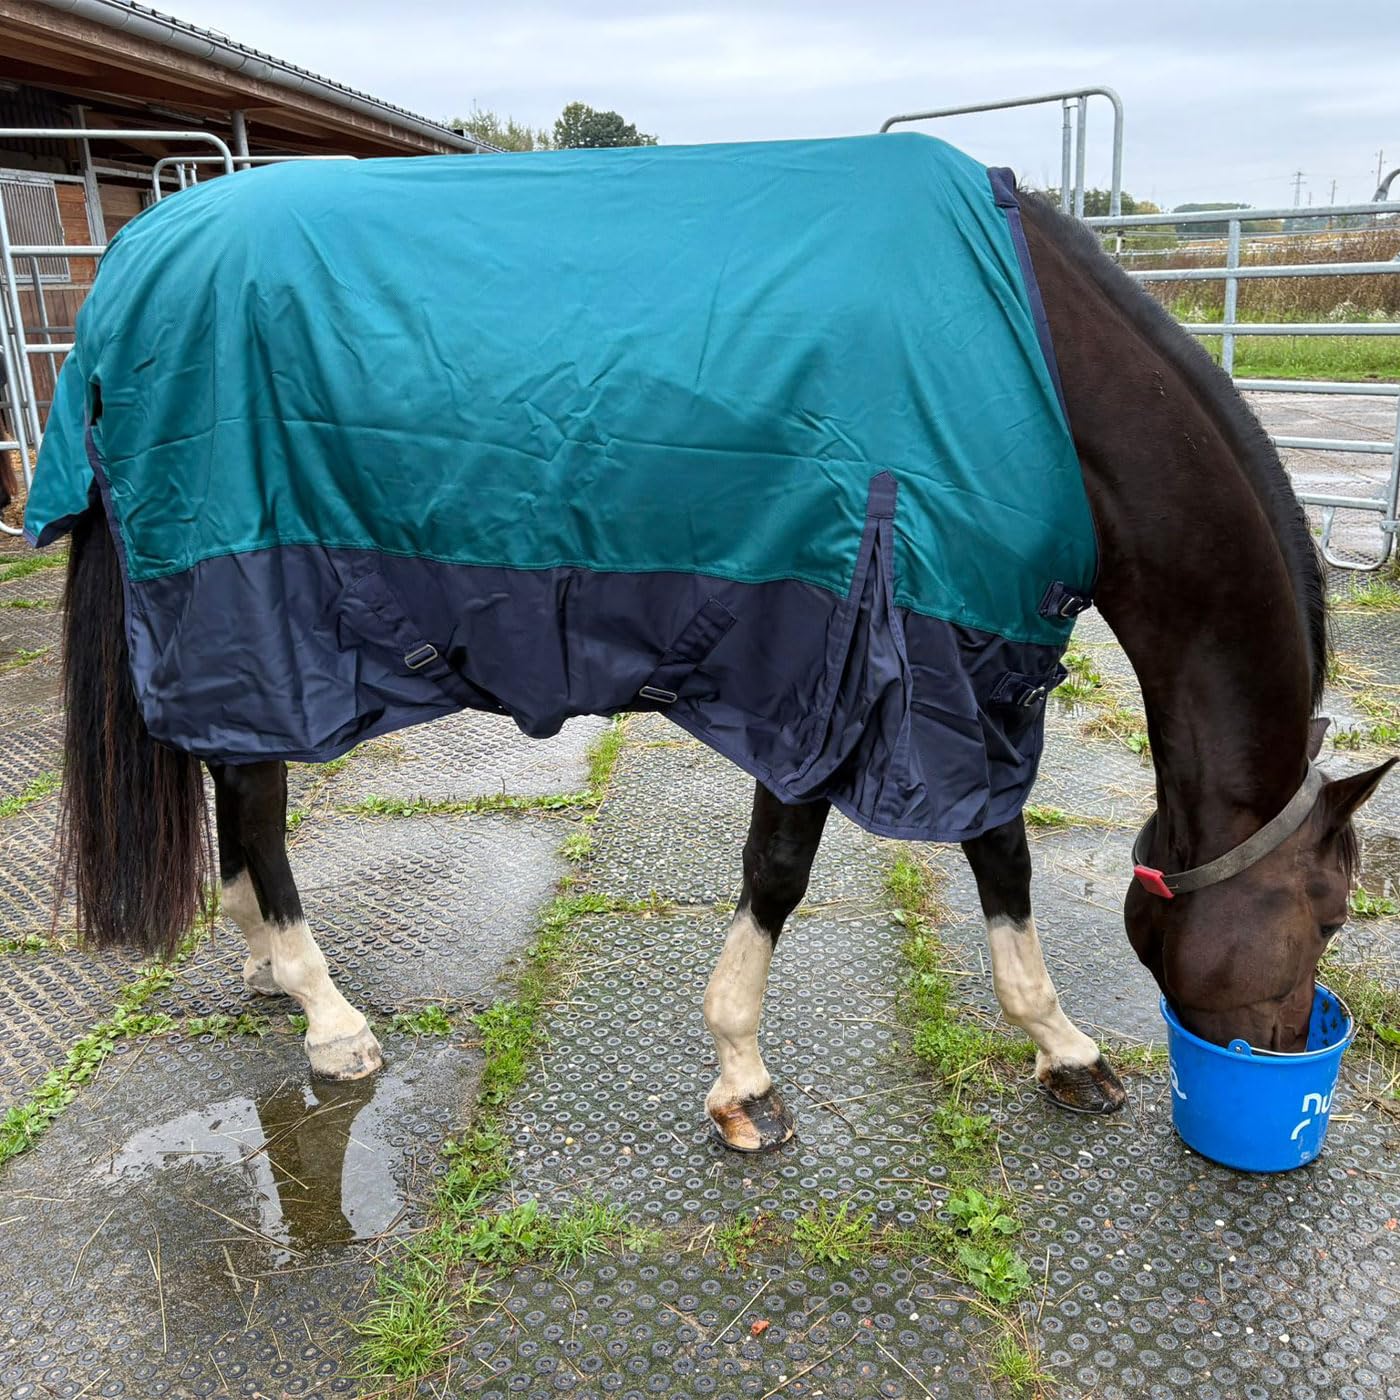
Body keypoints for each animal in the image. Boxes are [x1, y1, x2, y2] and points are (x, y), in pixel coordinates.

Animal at [31, 136, 1393, 1154]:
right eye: (1328, 912)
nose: (1284, 1056)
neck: (1032, 369)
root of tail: (133, 263)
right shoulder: (843, 655)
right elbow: (783, 868)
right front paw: (742, 1074)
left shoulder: (961, 668)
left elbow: (995, 850)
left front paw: (1059, 1046)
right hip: (251, 615)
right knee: (256, 801)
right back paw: (326, 1013)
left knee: (230, 782)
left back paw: (267, 964)